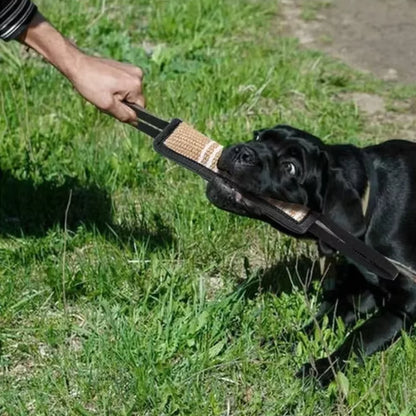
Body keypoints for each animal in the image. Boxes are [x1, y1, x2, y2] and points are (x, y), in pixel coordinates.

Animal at [208, 125, 416, 386]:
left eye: (290, 167)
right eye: (258, 137)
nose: (243, 151)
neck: (369, 200)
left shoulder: (407, 301)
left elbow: (362, 336)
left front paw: (323, 368)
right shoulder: (362, 291)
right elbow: (323, 319)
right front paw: (286, 340)